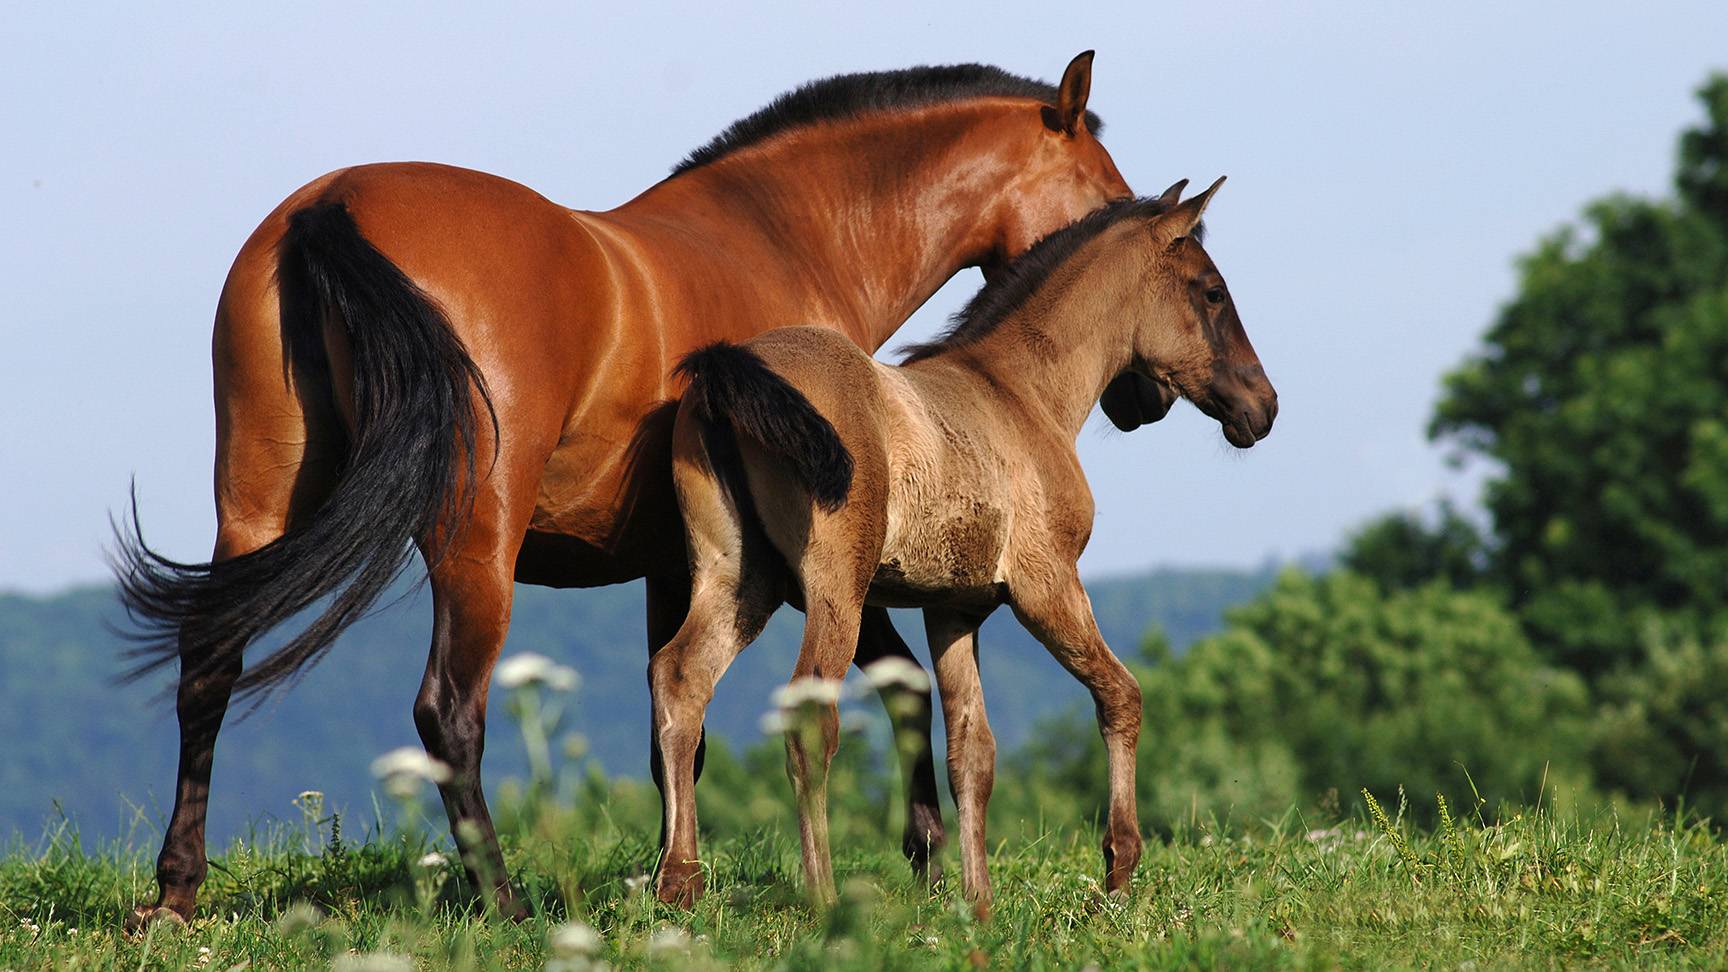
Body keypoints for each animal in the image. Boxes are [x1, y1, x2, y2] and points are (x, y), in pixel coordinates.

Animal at [112, 52, 1143, 925]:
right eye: (1108, 198)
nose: (1134, 396)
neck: (785, 240)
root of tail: (332, 208)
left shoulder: (685, 564)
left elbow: (671, 720)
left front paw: (669, 876)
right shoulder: (817, 559)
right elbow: (894, 689)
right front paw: (921, 856)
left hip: (255, 505)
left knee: (208, 664)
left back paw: (176, 891)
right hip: (475, 542)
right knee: (448, 710)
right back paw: (503, 902)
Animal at [655, 177, 1276, 913]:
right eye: (1211, 291)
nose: (1263, 406)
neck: (1019, 394)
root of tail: (732, 372)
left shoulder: (954, 608)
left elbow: (971, 753)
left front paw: (977, 906)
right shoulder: (1046, 583)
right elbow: (1121, 696)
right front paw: (1119, 869)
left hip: (741, 580)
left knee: (680, 677)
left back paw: (678, 883)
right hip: (835, 588)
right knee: (810, 717)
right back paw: (825, 899)